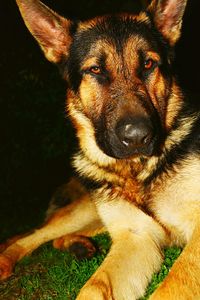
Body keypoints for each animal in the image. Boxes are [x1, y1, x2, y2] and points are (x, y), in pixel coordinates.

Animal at [0, 0, 200, 298]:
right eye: (95, 70)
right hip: (83, 212)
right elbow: (93, 288)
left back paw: (77, 245)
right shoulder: (135, 237)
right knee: (33, 235)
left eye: (148, 64)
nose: (138, 137)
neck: (136, 172)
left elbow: (171, 287)